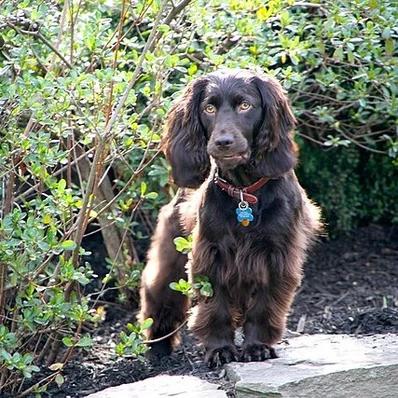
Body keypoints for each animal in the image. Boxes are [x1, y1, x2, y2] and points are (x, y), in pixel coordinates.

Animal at [138, 68, 322, 366]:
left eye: (245, 106)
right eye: (209, 108)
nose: (223, 142)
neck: (243, 192)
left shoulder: (277, 256)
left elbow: (264, 306)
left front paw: (257, 346)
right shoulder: (210, 255)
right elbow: (216, 307)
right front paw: (220, 349)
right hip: (170, 258)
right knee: (160, 298)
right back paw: (157, 348)